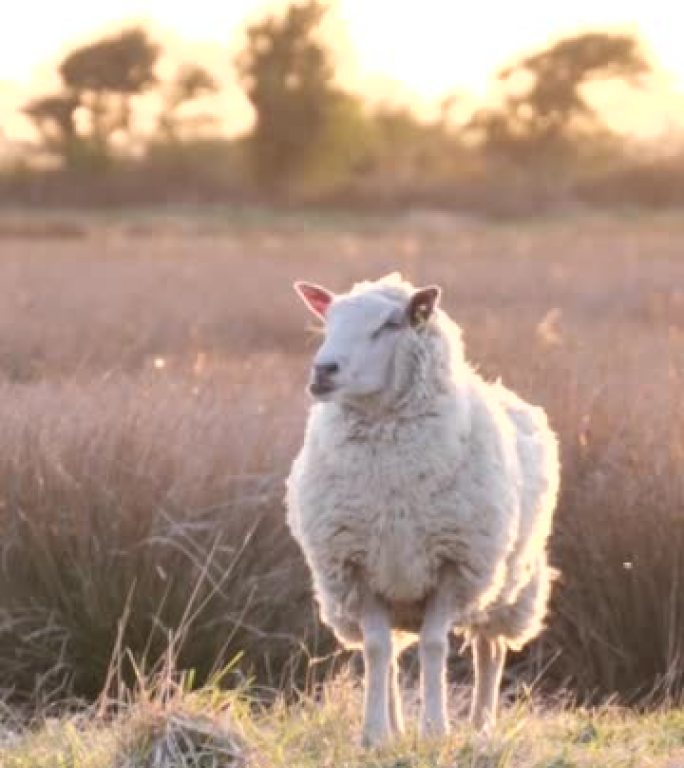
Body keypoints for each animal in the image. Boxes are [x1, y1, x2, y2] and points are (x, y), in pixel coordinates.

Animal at [286, 274, 560, 744]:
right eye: (328, 320)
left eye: (390, 324)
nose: (323, 371)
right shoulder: (357, 567)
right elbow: (377, 649)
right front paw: (375, 734)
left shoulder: (455, 565)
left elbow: (435, 645)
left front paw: (435, 729)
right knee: (394, 654)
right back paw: (398, 726)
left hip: (509, 588)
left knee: (490, 651)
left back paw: (481, 726)